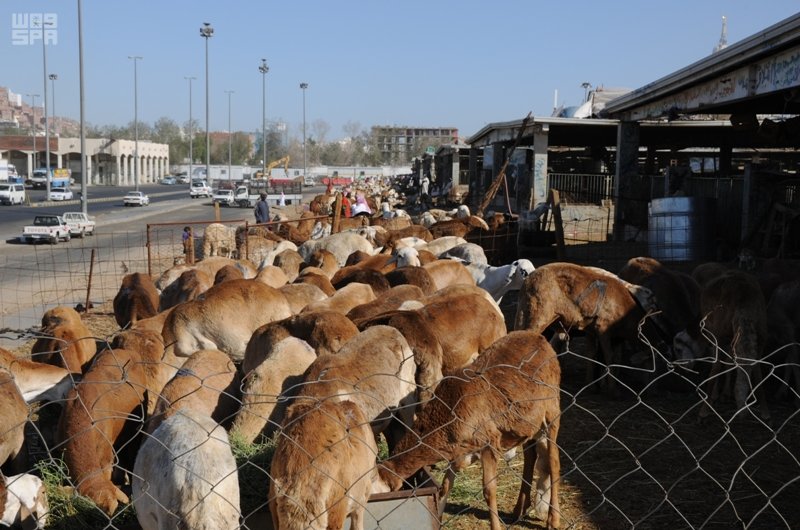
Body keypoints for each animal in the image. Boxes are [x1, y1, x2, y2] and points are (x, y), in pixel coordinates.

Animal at [376, 330, 560, 528]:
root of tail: (540, 338)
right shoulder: (458, 451)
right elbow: (445, 486)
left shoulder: (489, 442)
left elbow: (489, 491)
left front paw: (496, 526)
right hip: (528, 422)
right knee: (530, 456)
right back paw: (519, 509)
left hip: (552, 409)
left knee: (553, 460)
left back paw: (553, 519)